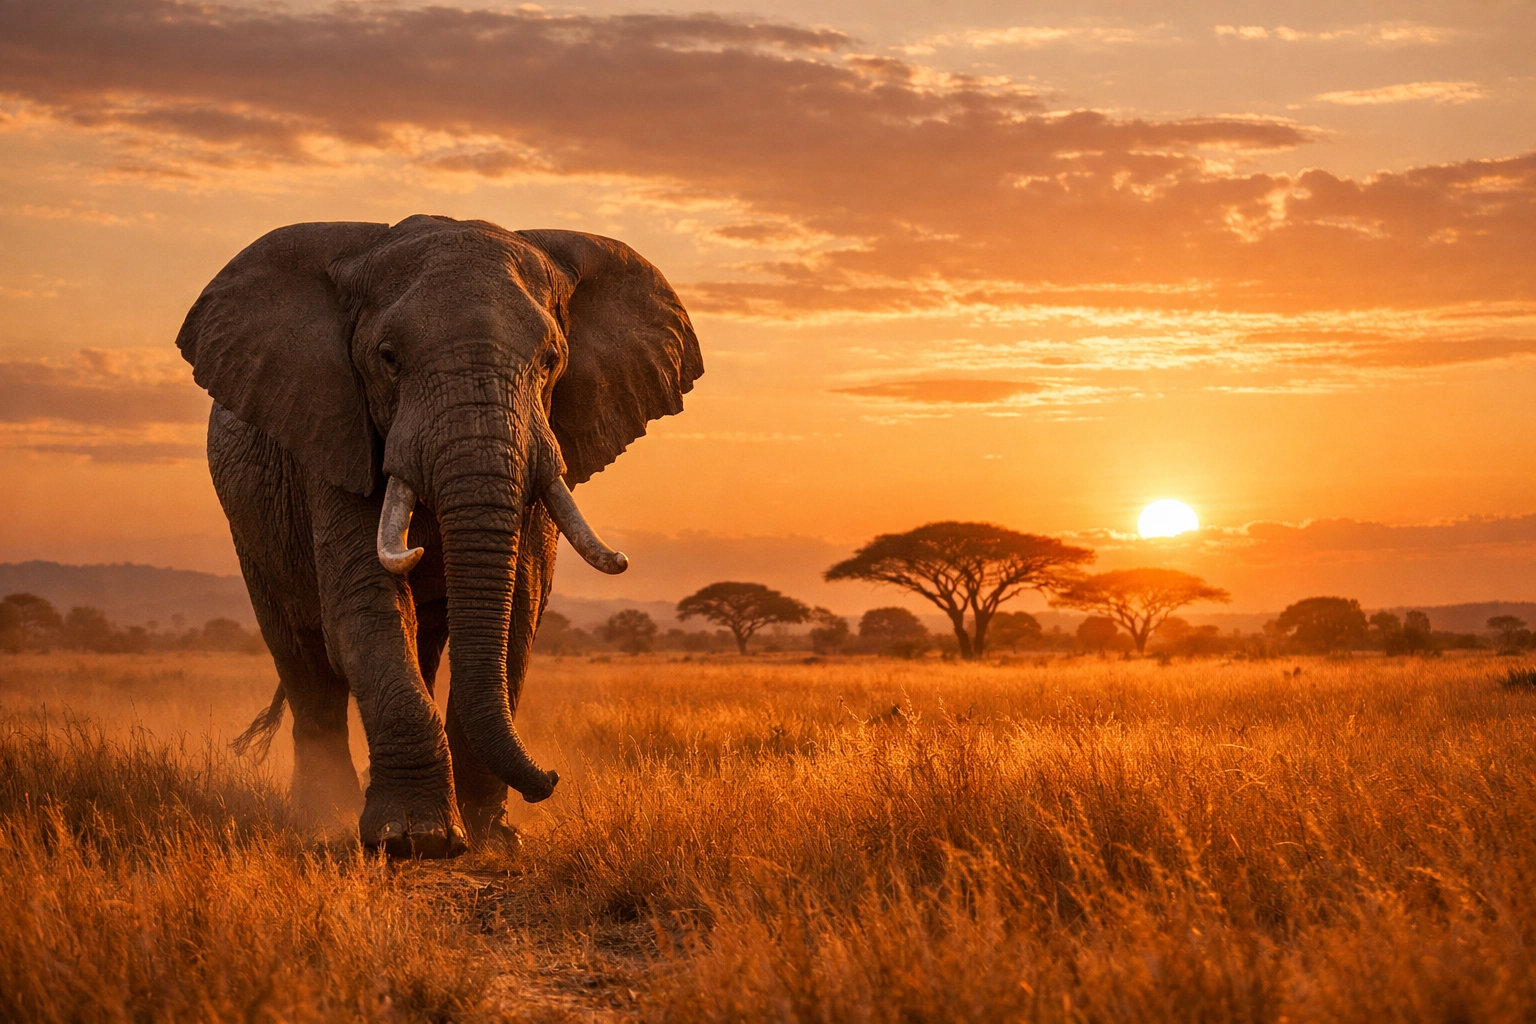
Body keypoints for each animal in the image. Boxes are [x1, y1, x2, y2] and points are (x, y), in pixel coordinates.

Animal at [176, 215, 702, 857]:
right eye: (387, 358)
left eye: (552, 360)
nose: (550, 780)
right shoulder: (334, 434)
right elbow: (365, 606)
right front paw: (415, 839)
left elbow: (520, 607)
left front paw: (491, 838)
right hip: (251, 525)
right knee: (302, 657)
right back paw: (322, 814)